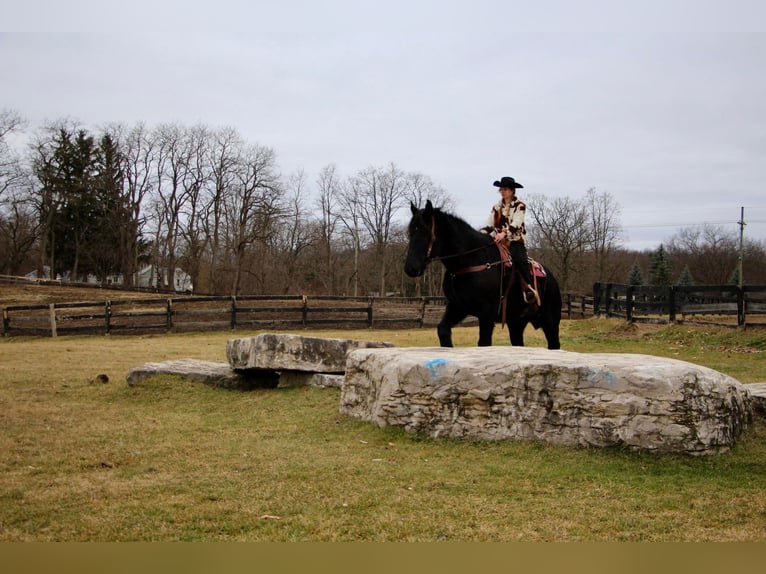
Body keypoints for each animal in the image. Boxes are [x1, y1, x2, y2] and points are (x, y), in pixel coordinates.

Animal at [404, 200, 560, 348]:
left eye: (424, 231)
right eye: (410, 232)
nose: (410, 268)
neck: (471, 262)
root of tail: (551, 278)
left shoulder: (487, 313)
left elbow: (483, 342)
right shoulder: (457, 307)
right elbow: (443, 330)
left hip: (550, 324)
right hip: (516, 324)